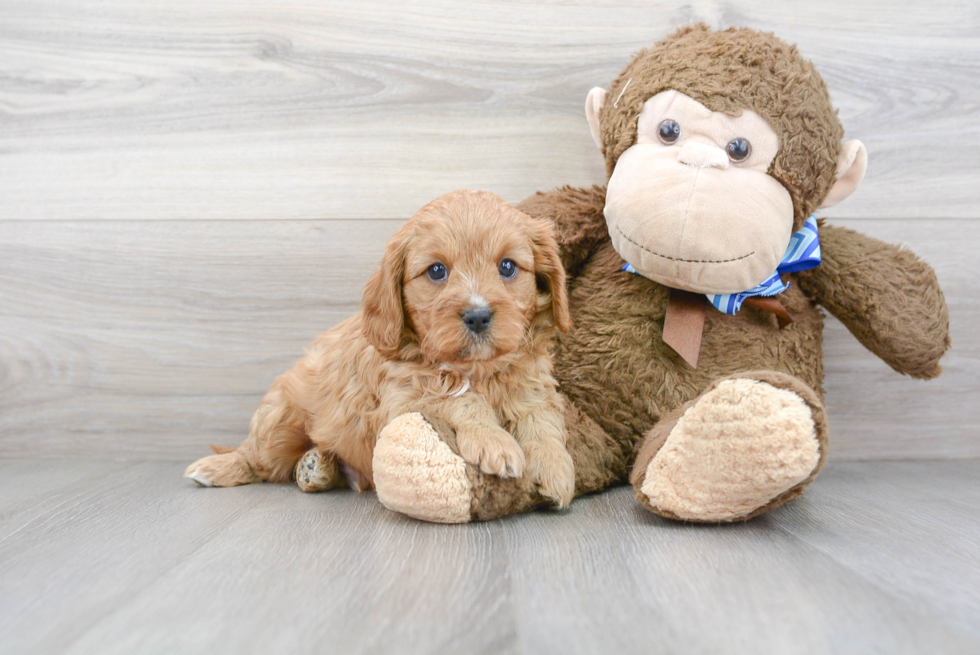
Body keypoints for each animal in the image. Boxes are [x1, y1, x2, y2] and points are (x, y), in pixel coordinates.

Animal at [186, 190, 576, 508]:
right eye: (436, 271)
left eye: (508, 267)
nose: (478, 316)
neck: (476, 369)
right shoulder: (401, 400)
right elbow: (458, 398)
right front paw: (495, 441)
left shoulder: (535, 384)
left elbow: (541, 419)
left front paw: (554, 466)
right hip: (279, 421)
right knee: (257, 458)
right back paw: (217, 467)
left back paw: (317, 467)